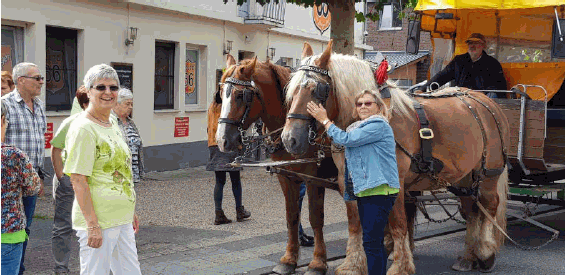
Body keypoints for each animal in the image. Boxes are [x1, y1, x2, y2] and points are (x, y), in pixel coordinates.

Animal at [215, 54, 366, 275]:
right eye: (220, 94)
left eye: (241, 95)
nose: (221, 140)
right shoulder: (286, 176)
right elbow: (292, 216)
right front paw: (288, 259)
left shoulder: (313, 178)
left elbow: (315, 218)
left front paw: (318, 262)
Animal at [280, 41, 508, 275]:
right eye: (291, 90)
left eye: (317, 90)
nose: (290, 139)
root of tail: (485, 101)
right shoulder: (347, 181)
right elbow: (355, 223)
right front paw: (353, 264)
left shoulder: (395, 181)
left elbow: (398, 223)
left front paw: (400, 266)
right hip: (464, 177)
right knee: (471, 209)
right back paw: (468, 257)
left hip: (488, 173)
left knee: (489, 205)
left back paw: (486, 252)